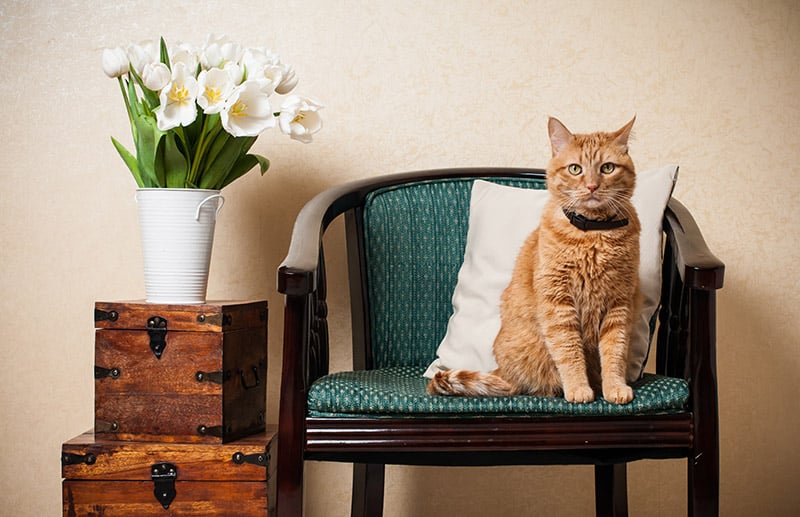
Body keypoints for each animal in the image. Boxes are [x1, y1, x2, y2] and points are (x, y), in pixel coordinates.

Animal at [428, 117, 640, 404]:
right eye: (575, 169)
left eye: (607, 168)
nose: (592, 186)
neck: (594, 234)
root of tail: (502, 372)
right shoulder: (557, 302)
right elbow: (569, 351)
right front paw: (578, 388)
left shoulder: (619, 304)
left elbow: (614, 352)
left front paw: (615, 387)